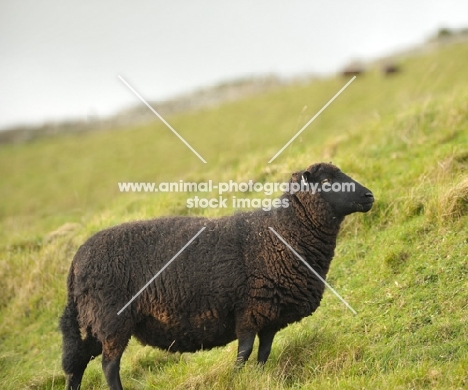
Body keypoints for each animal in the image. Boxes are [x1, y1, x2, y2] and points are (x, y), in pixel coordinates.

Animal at [59, 161, 372, 386]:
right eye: (328, 182)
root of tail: (76, 262)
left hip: (93, 323)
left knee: (77, 366)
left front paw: (258, 378)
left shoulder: (269, 315)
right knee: (108, 366)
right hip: (112, 319)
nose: (369, 196)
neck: (283, 233)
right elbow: (244, 352)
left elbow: (263, 353)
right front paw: (237, 378)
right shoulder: (249, 311)